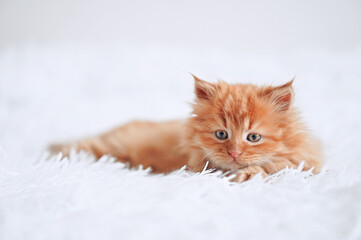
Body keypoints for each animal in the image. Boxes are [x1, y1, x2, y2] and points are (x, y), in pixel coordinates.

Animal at [49, 76, 322, 183]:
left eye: (253, 137)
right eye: (221, 134)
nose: (234, 153)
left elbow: (279, 166)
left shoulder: (307, 163)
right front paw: (243, 174)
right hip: (105, 147)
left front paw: (248, 172)